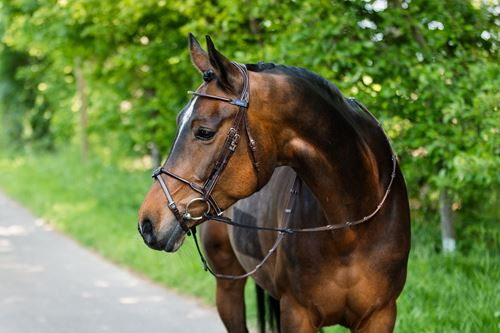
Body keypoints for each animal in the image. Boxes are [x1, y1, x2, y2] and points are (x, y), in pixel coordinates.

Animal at [138, 34, 410, 332]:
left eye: (204, 132)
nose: (147, 223)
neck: (352, 227)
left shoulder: (380, 315)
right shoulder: (296, 313)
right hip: (228, 288)